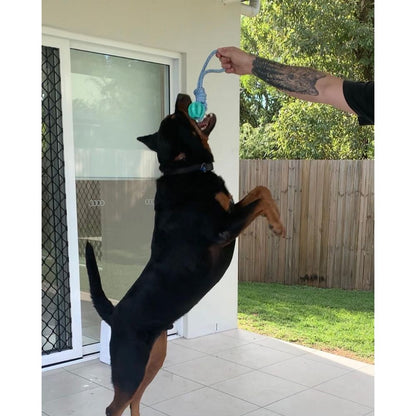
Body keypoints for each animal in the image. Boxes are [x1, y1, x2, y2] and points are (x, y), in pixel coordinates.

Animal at [84, 94, 286, 416]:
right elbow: (262, 193)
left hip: (155, 357)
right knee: (114, 407)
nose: (182, 96)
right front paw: (278, 226)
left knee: (135, 399)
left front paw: (275, 221)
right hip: (130, 367)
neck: (185, 170)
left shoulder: (231, 211)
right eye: (176, 117)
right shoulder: (224, 230)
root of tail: (114, 315)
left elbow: (259, 190)